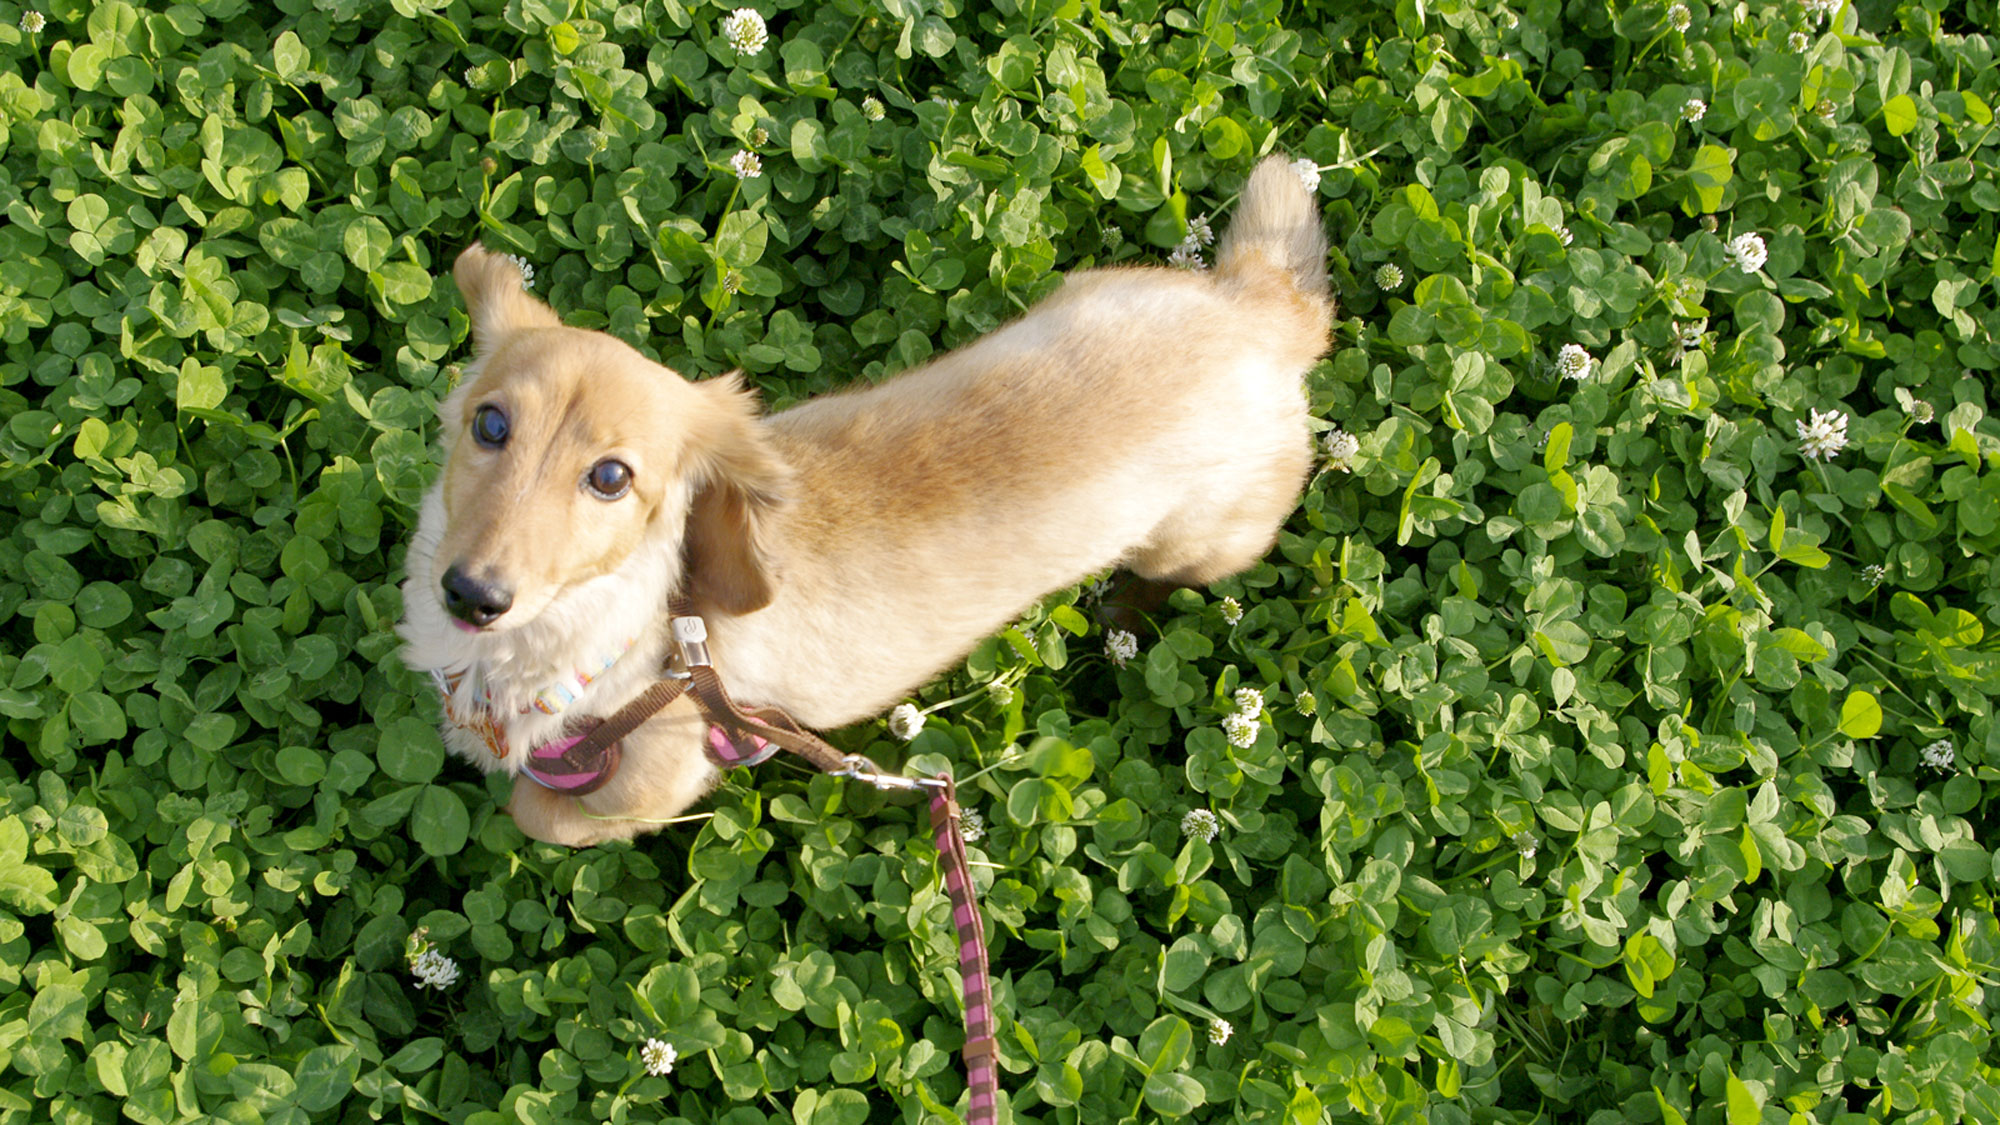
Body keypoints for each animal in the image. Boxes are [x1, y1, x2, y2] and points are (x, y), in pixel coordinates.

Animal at [394, 155, 1328, 840]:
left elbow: (541, 810)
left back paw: (1121, 615)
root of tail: (1261, 307)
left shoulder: (661, 771)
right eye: (489, 424)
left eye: (611, 477)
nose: (472, 594)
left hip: (1201, 543)